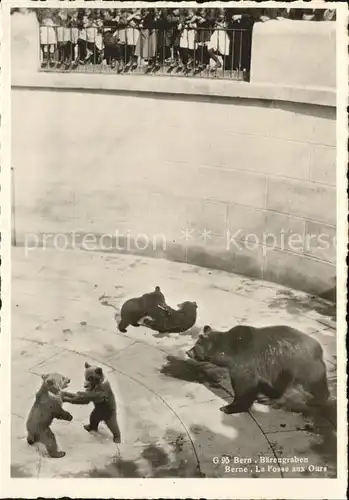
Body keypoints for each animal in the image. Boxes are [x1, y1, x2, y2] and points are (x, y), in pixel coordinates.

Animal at [185, 324, 328, 414]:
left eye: (196, 346)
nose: (188, 352)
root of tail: (320, 351)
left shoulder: (245, 363)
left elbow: (245, 387)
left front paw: (229, 407)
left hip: (296, 367)